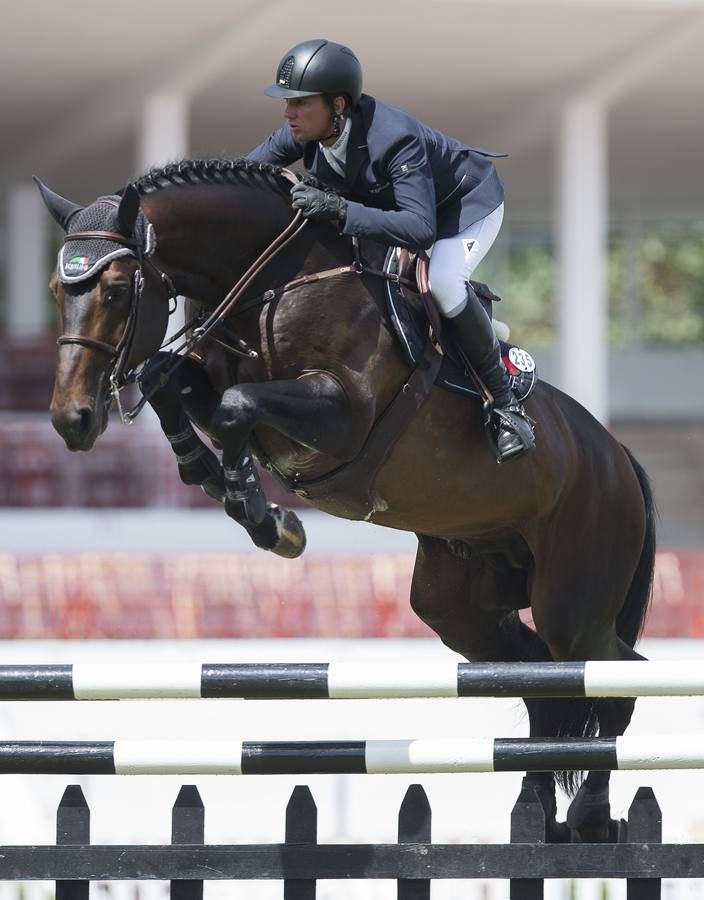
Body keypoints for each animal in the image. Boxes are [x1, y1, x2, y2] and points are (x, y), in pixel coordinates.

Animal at [37, 160, 656, 844]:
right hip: (462, 603)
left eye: (118, 291)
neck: (272, 280)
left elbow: (235, 406)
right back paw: (539, 815)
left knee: (614, 676)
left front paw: (265, 516)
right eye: (57, 289)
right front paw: (220, 481)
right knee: (542, 686)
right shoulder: (213, 374)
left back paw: (591, 814)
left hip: (573, 598)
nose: (73, 419)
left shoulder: (340, 413)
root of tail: (619, 457)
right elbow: (170, 383)